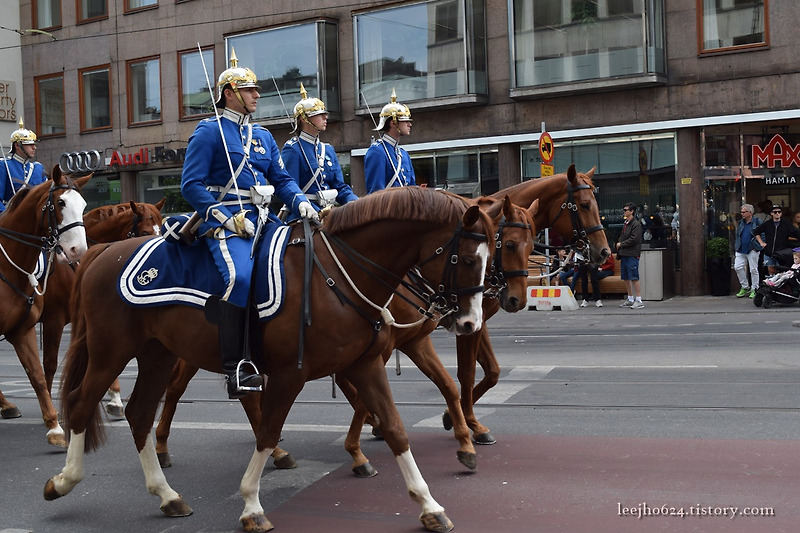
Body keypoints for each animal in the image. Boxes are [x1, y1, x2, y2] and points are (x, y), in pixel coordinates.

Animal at [0, 169, 89, 444]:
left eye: (84, 205)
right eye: (60, 203)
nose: (78, 251)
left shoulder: (22, 330)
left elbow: (37, 374)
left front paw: (54, 426)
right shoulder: (54, 320)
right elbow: (48, 365)